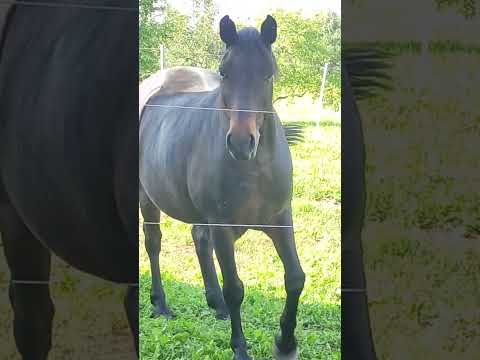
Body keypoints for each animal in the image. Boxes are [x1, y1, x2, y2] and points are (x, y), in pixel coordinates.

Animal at [139, 14, 304, 360]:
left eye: (268, 73)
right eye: (224, 72)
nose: (241, 143)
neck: (254, 169)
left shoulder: (281, 218)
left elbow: (295, 277)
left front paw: (285, 343)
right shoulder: (223, 226)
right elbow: (235, 288)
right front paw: (240, 348)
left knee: (199, 239)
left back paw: (216, 305)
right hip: (147, 199)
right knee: (153, 243)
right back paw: (160, 304)